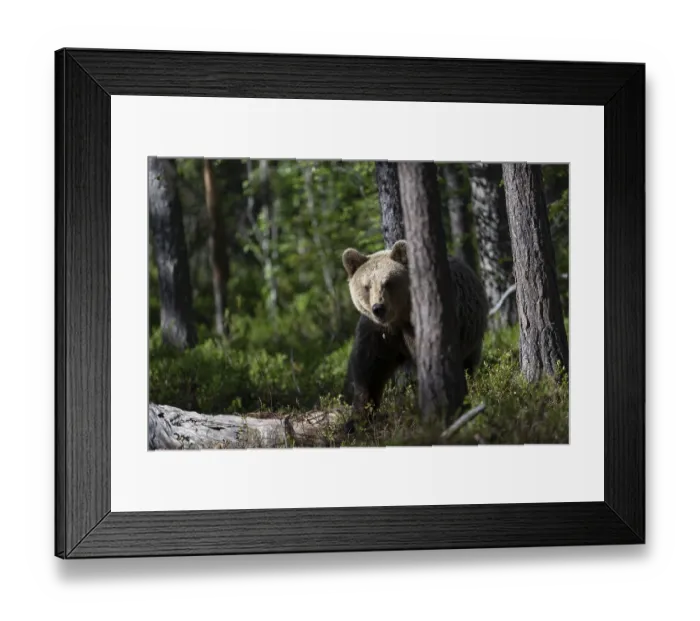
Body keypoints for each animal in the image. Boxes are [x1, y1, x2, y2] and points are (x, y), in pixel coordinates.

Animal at [341, 239, 489, 421]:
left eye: (388, 282)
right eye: (367, 286)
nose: (378, 308)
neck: (401, 316)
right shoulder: (379, 332)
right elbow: (369, 369)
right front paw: (359, 415)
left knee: (468, 363)